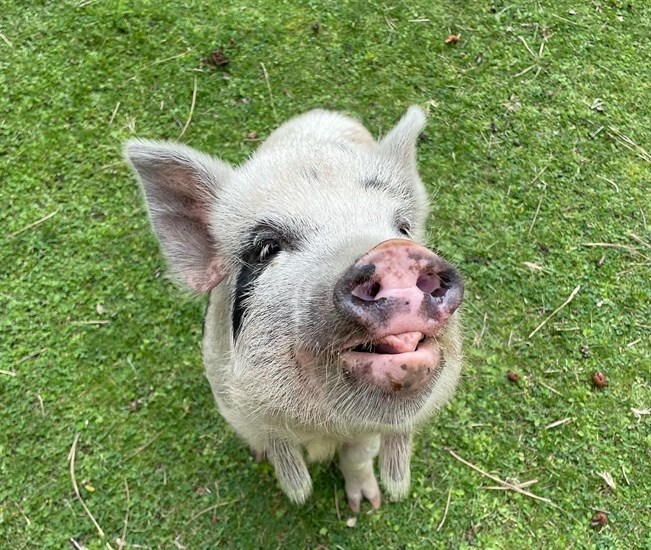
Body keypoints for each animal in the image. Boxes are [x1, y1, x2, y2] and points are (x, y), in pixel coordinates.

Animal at [125, 105, 464, 516]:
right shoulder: (232, 405)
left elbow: (358, 457)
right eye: (267, 249)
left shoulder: (368, 433)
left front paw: (365, 506)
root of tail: (325, 112)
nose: (393, 252)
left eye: (401, 228)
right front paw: (275, 469)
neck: (320, 429)